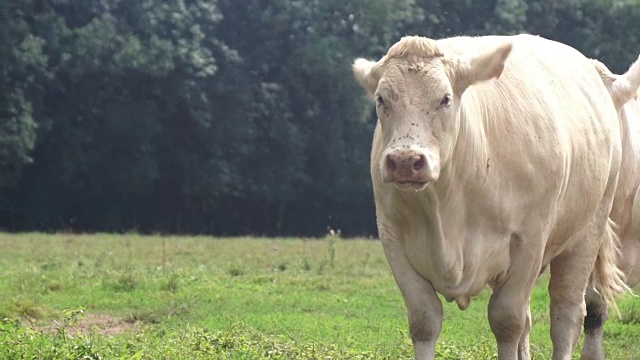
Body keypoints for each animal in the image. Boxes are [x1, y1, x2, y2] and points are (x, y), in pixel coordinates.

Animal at [352, 33, 628, 360]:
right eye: (381, 99)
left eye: (445, 98)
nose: (406, 160)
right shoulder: (393, 238)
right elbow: (424, 319)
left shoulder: (529, 240)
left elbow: (507, 320)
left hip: (587, 233)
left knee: (566, 315)